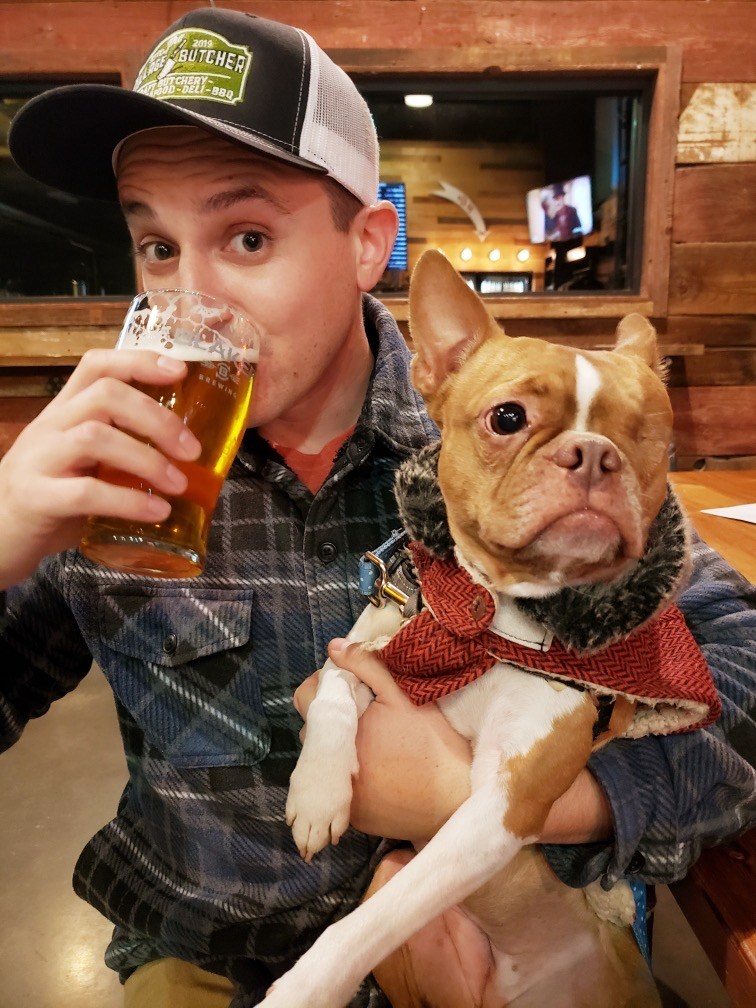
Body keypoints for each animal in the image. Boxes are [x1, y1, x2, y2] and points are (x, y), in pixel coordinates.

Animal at [268, 247, 721, 1003]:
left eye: (652, 439)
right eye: (507, 418)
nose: (596, 453)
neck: (492, 626)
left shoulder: (503, 806)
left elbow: (375, 920)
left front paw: (306, 985)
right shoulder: (383, 643)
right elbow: (334, 686)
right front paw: (318, 789)